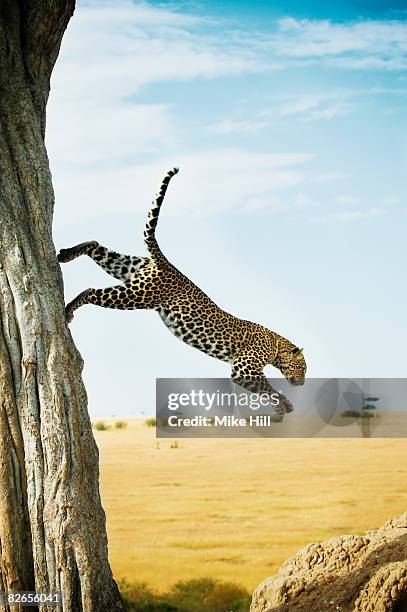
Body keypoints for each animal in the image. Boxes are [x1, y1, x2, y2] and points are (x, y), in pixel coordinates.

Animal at [57, 167, 306, 414]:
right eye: (303, 367)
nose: (303, 383)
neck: (276, 345)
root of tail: (165, 263)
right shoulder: (244, 369)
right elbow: (267, 388)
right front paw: (284, 405)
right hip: (136, 296)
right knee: (91, 290)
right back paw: (68, 309)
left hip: (129, 269)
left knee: (95, 244)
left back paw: (66, 254)